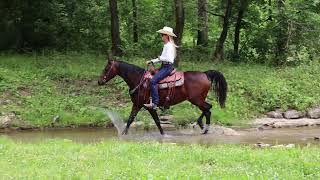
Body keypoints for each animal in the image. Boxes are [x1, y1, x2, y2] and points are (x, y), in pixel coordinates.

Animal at [97, 58, 228, 134]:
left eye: (106, 68)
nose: (99, 81)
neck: (139, 80)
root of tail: (205, 74)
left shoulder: (149, 106)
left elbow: (157, 121)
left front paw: (163, 135)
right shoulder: (137, 104)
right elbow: (130, 120)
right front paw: (124, 134)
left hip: (196, 100)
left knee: (208, 109)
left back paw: (204, 128)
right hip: (198, 100)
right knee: (207, 109)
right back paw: (202, 126)